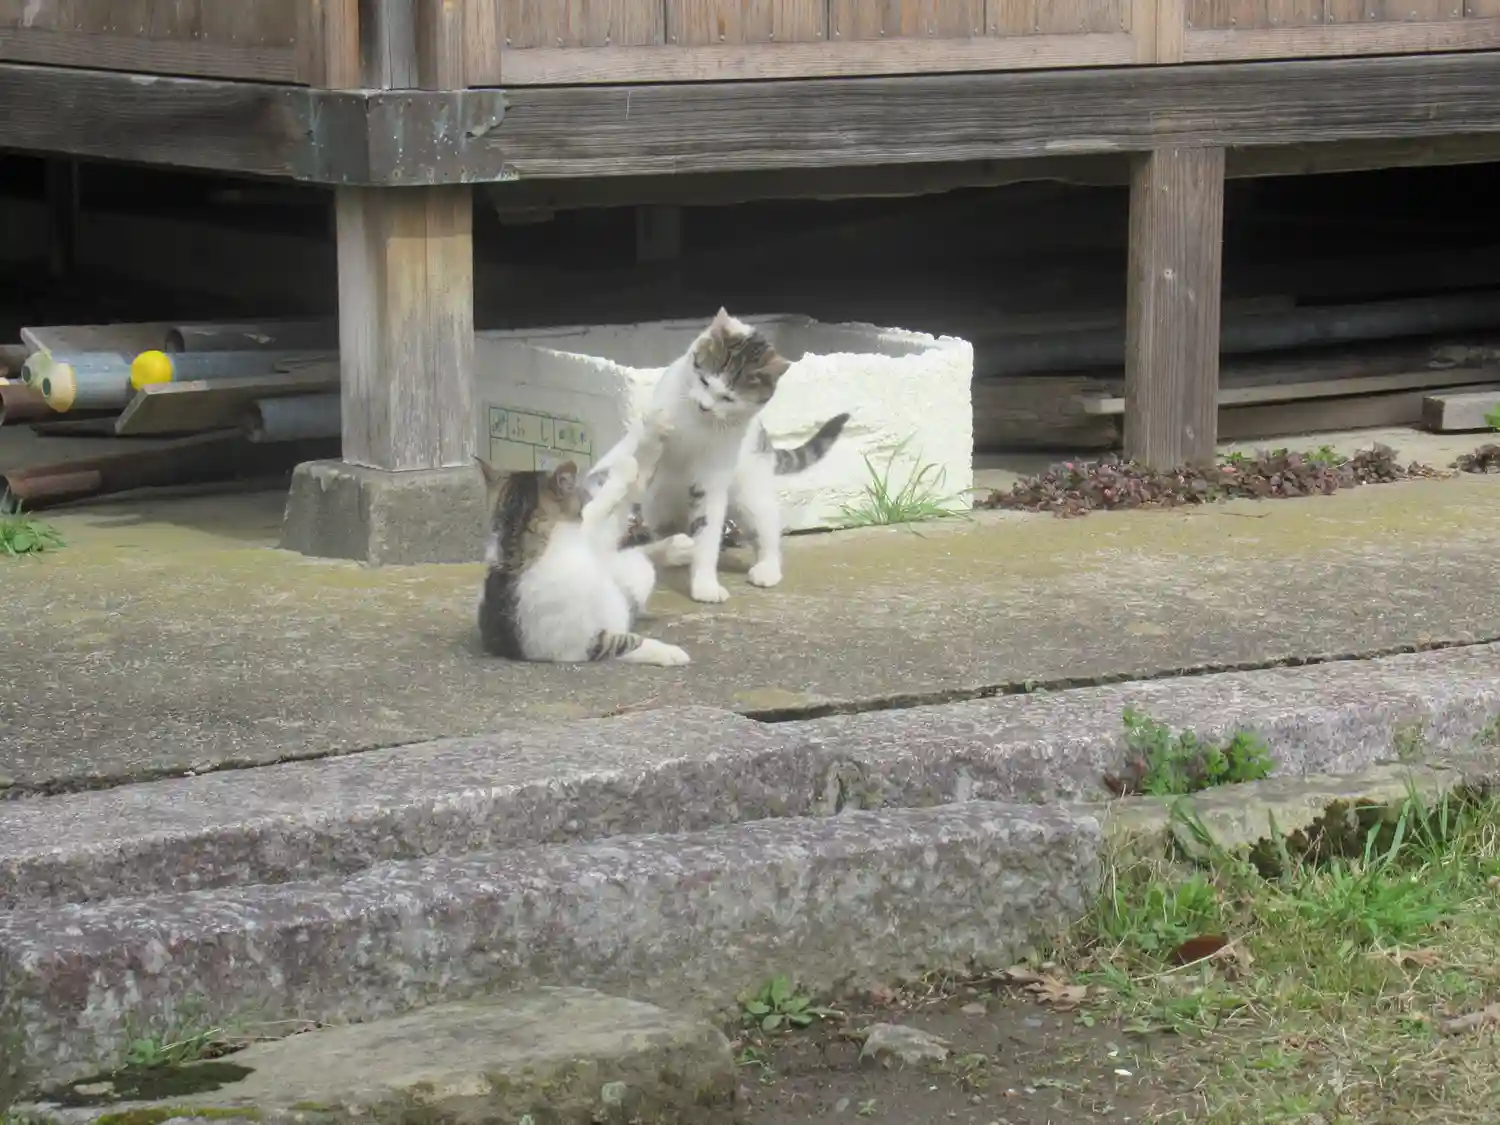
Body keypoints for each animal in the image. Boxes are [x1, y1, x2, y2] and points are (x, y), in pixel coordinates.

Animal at [475, 412, 695, 666]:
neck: (516, 545)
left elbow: (610, 507)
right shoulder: (584, 644)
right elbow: (627, 643)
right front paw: (671, 653)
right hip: (631, 573)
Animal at [589, 308, 850, 604]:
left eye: (728, 398)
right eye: (704, 381)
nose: (704, 406)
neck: (697, 424)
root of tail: (766, 441)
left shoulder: (711, 479)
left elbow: (707, 534)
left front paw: (704, 585)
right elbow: (639, 453)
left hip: (751, 495)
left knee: (767, 531)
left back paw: (766, 569)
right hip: (659, 505)